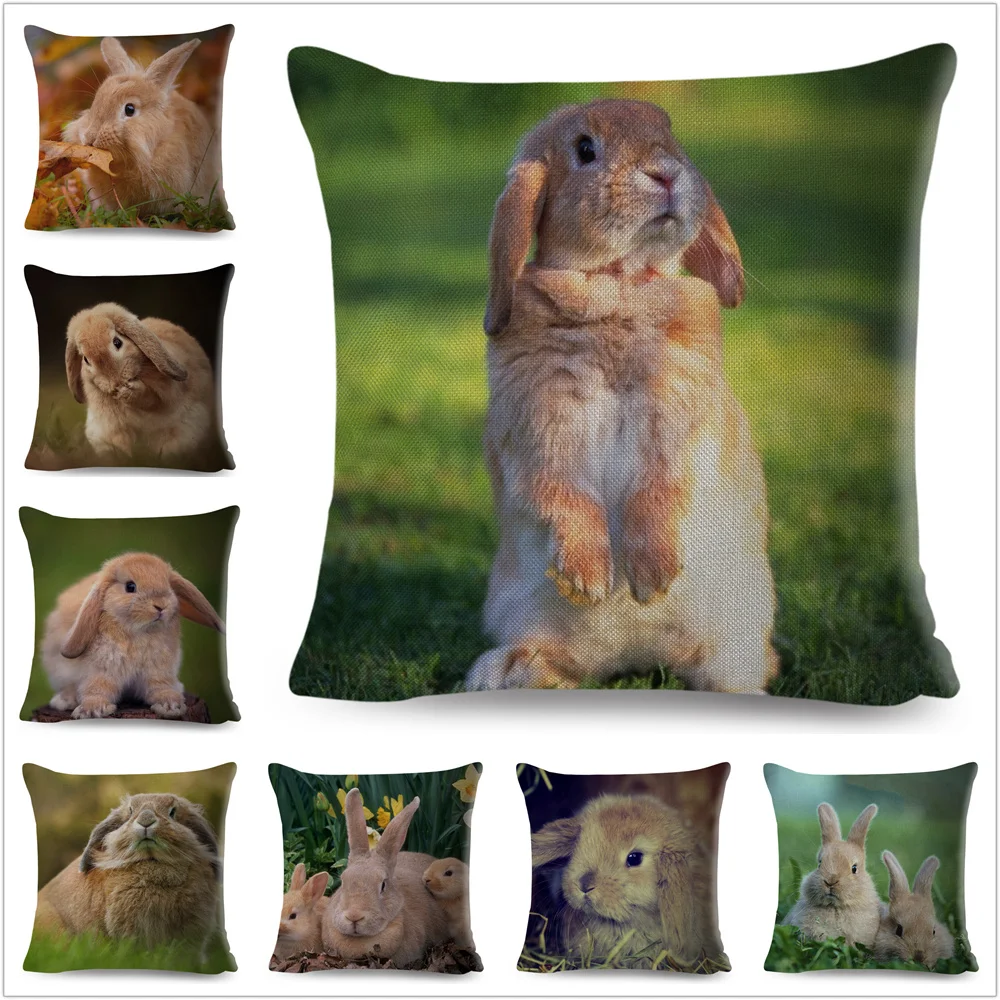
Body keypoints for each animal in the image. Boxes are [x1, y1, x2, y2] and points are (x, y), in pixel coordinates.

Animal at [41, 551, 224, 719]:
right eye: (130, 586)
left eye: (169, 585)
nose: (161, 605)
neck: (139, 632)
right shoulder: (102, 670)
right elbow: (97, 688)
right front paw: (92, 710)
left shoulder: (158, 670)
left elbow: (160, 687)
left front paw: (171, 705)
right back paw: (64, 701)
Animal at [65, 302, 220, 467]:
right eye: (86, 359)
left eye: (117, 342)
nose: (115, 382)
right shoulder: (115, 427)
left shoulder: (167, 392)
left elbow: (151, 398)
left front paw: (126, 392)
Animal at [466, 98, 777, 694]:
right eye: (585, 149)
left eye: (670, 134)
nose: (666, 173)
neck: (617, 284)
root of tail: (632, 656)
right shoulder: (539, 430)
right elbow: (564, 494)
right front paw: (589, 581)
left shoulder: (679, 423)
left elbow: (658, 490)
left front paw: (652, 579)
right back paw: (504, 670)